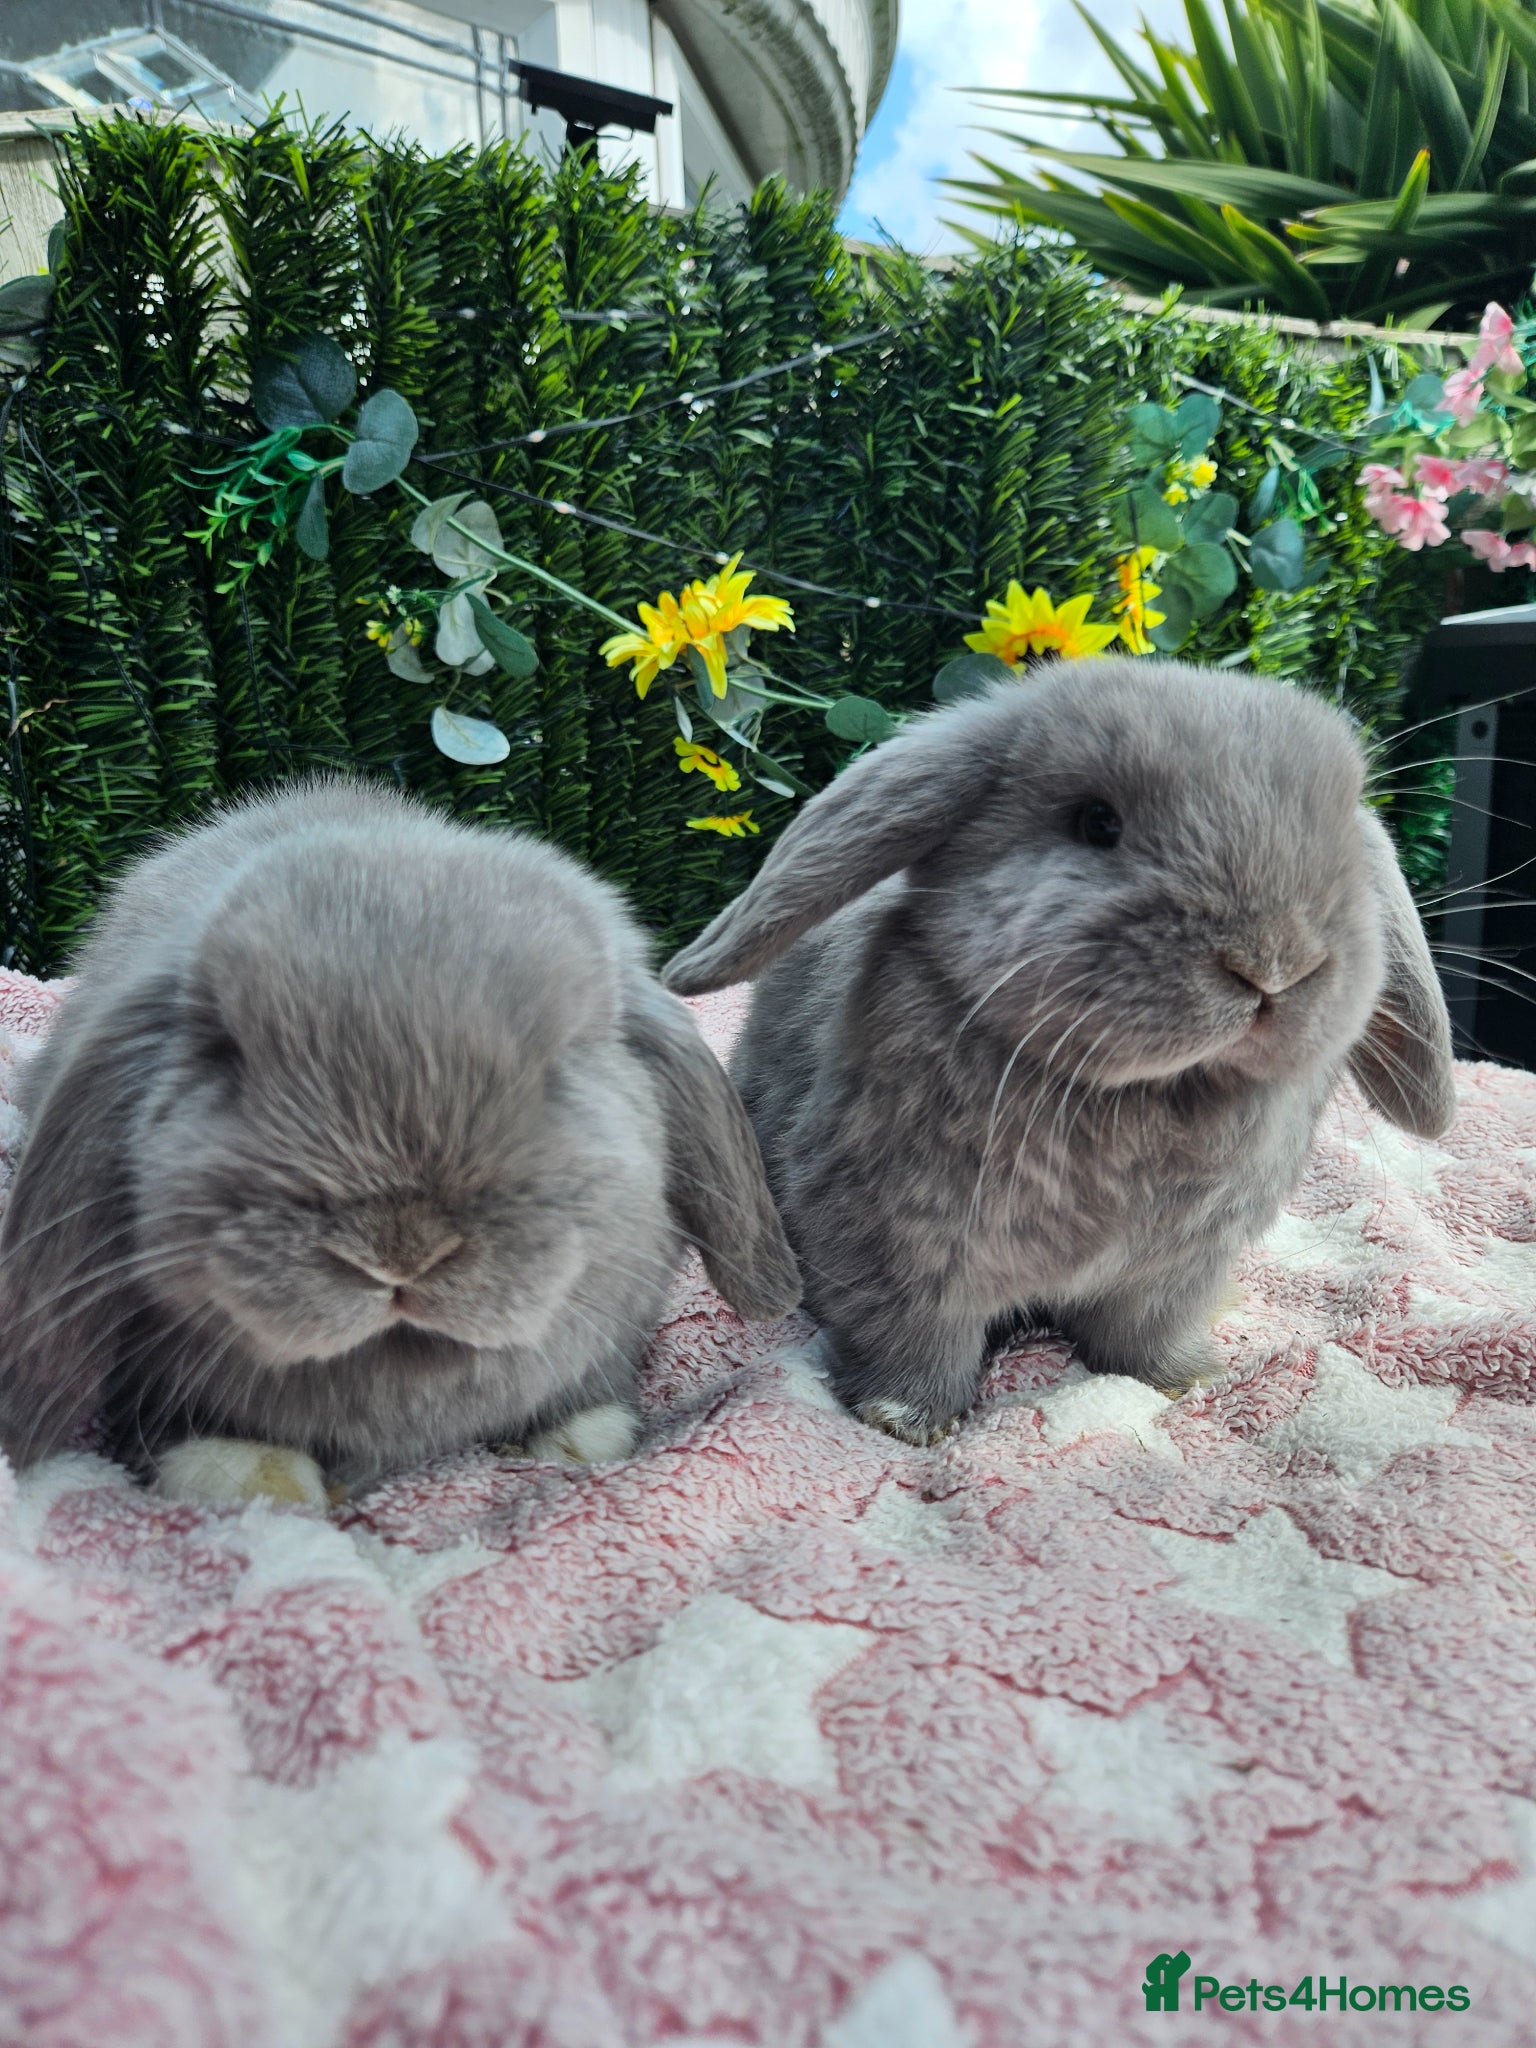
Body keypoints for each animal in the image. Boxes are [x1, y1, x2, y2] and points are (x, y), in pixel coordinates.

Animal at [663, 657, 1455, 1445]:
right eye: (1096, 822)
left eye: (1343, 839)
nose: (1274, 964)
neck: (1140, 1090)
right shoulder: (898, 1252)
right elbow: (913, 1341)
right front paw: (908, 1421)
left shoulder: (1177, 1271)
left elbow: (1142, 1340)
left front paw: (1188, 1380)